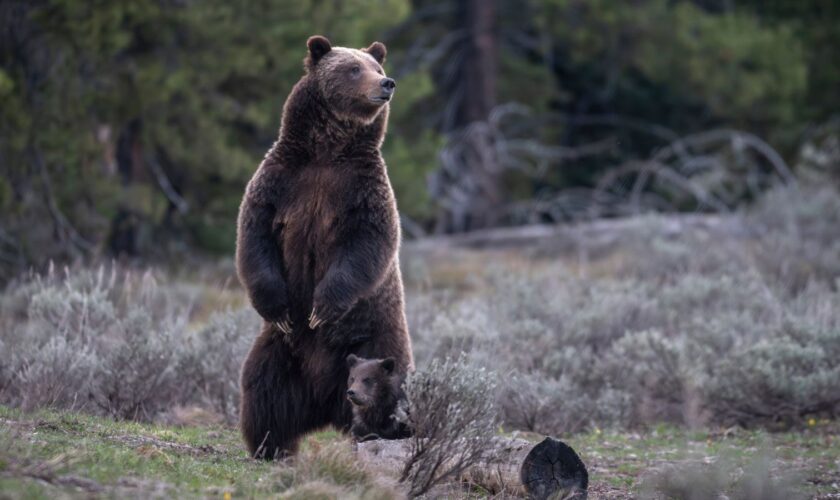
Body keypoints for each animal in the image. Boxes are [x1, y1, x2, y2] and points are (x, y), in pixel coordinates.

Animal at [236, 33, 414, 458]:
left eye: (377, 67)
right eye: (354, 68)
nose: (387, 84)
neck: (327, 151)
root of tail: (324, 402)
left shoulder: (362, 191)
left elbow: (367, 245)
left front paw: (322, 308)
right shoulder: (281, 181)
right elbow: (255, 237)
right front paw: (281, 307)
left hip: (377, 341)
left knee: (390, 388)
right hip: (282, 352)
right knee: (263, 390)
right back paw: (270, 446)